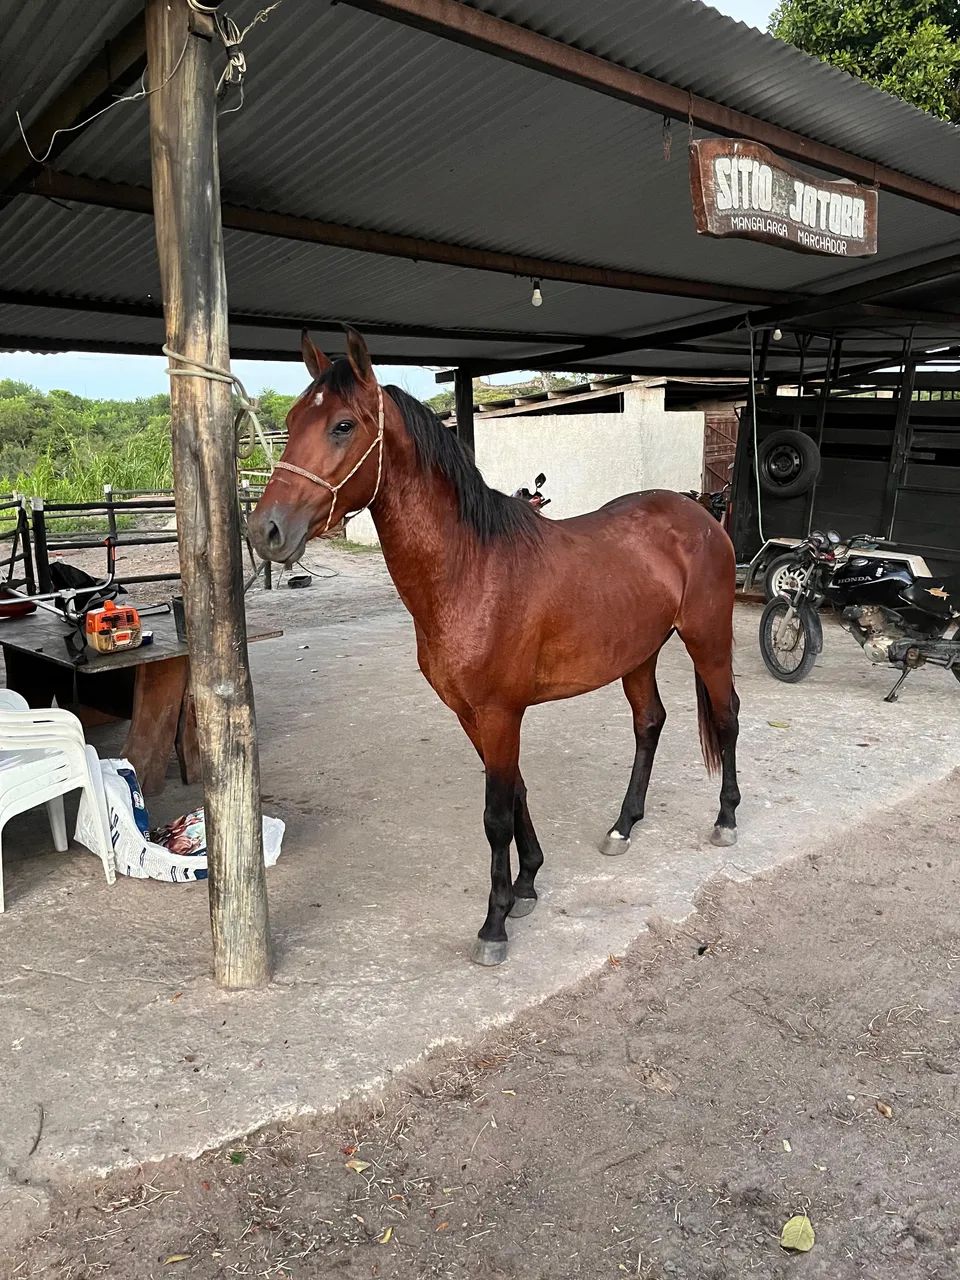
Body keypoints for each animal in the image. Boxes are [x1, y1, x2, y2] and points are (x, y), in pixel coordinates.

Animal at [248, 330, 741, 967]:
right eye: (290, 420)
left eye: (342, 425)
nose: (266, 531)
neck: (472, 569)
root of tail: (699, 514)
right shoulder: (472, 714)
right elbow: (516, 793)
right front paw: (528, 882)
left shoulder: (501, 712)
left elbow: (495, 814)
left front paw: (495, 922)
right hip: (638, 655)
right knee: (649, 723)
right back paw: (622, 827)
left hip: (709, 640)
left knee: (726, 717)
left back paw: (726, 819)